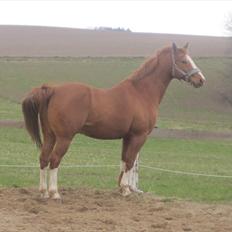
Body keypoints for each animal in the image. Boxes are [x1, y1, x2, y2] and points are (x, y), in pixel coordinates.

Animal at [22, 42, 206, 198]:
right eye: (183, 61)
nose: (201, 80)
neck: (141, 93)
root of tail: (52, 89)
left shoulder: (127, 137)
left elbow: (124, 161)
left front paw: (122, 188)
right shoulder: (139, 136)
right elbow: (130, 161)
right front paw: (126, 190)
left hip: (50, 135)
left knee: (43, 158)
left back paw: (43, 192)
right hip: (64, 138)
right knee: (54, 160)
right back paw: (54, 193)